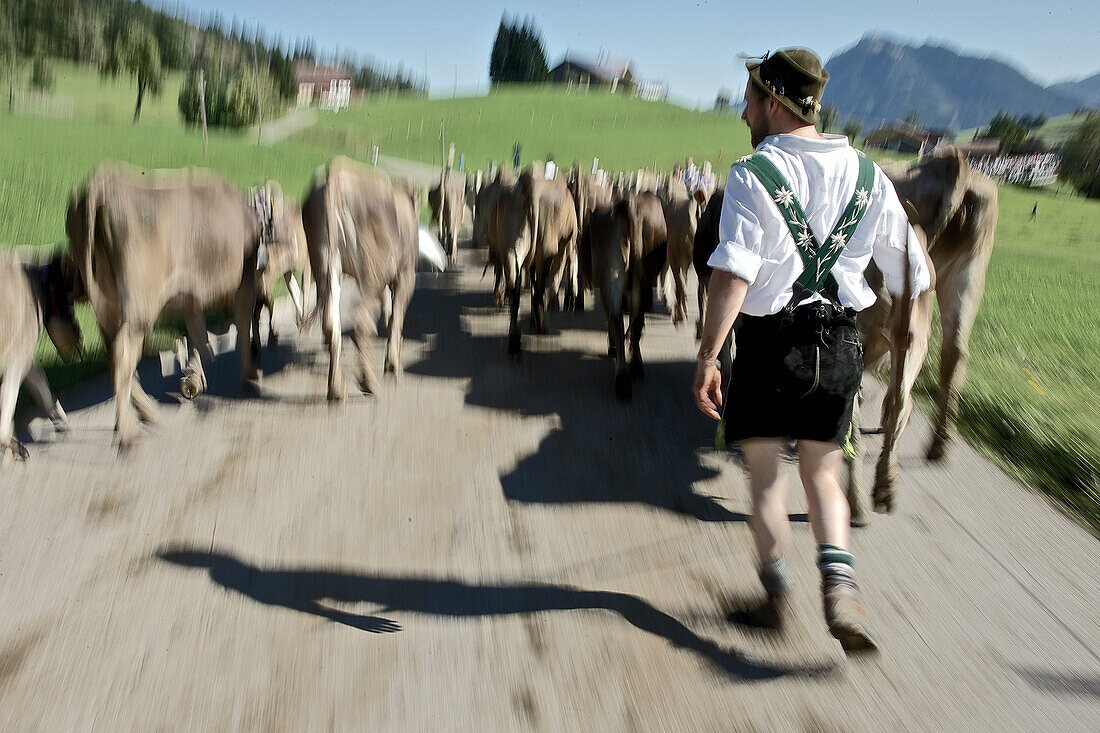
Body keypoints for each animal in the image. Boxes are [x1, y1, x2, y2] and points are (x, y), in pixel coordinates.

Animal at [0, 254, 80, 462]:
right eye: (67, 304)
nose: (78, 333)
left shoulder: (23, 350)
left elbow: (38, 379)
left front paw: (60, 419)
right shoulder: (21, 345)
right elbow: (10, 391)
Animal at [65, 162, 283, 444]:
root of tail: (102, 182)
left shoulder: (191, 292)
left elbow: (198, 332)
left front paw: (194, 376)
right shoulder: (243, 283)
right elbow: (242, 327)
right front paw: (249, 374)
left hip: (108, 304)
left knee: (112, 353)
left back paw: (147, 412)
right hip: (140, 304)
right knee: (123, 354)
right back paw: (126, 431)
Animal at [303, 152, 418, 400]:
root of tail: (337, 172)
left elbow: (390, 312)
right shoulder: (406, 273)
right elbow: (396, 317)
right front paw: (393, 366)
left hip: (325, 262)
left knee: (331, 323)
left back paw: (336, 389)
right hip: (371, 270)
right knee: (362, 323)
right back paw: (369, 383)